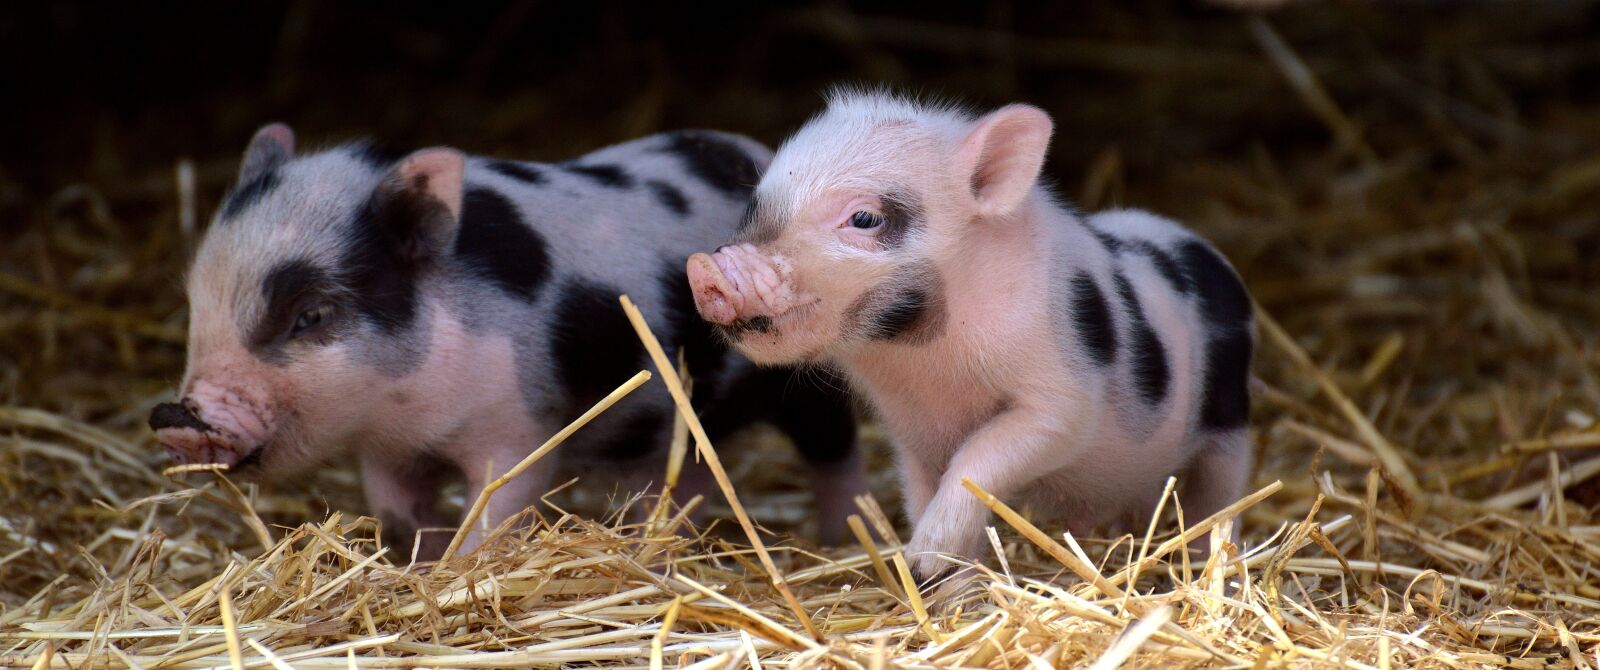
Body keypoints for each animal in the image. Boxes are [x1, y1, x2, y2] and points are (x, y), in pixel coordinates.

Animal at [149, 123, 866, 558]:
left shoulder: (518, 430)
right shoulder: (386, 452)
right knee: (684, 475)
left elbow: (496, 512)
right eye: (196, 301)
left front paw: (459, 571)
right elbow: (401, 516)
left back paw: (840, 543)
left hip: (811, 380)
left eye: (311, 316)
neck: (406, 410)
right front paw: (418, 567)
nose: (177, 413)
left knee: (836, 455)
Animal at [686, 91, 1254, 582]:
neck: (924, 363)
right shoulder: (909, 430)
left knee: (1218, 497)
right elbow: (923, 491)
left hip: (1229, 419)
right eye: (755, 207)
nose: (708, 271)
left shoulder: (1059, 397)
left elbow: (980, 460)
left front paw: (922, 557)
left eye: (865, 217)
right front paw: (938, 581)